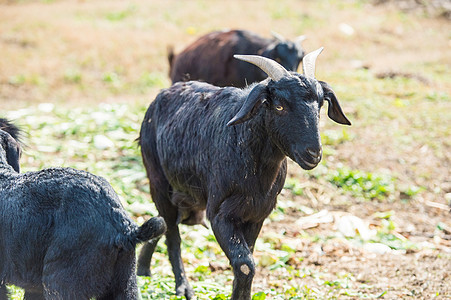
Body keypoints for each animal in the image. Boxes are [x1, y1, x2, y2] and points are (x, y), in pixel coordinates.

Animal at [138, 48, 354, 298]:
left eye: (319, 105)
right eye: (279, 106)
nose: (313, 154)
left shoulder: (256, 214)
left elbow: (245, 261)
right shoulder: (220, 214)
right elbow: (245, 264)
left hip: (188, 200)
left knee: (165, 223)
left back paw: (143, 269)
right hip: (159, 182)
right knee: (172, 233)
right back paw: (183, 287)